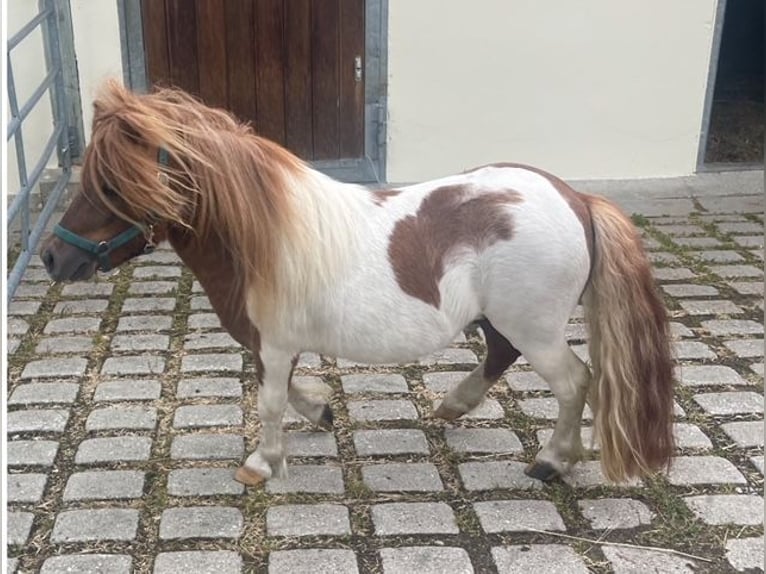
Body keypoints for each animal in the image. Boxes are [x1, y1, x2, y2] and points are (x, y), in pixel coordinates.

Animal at [43, 80, 680, 486]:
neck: (262, 235)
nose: (52, 257)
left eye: (110, 185)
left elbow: (270, 400)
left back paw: (552, 461)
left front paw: (262, 463)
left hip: (535, 328)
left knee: (575, 382)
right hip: (503, 321)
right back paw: (455, 406)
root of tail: (575, 198)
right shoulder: (273, 343)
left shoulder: (274, 342)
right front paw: (321, 414)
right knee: (501, 356)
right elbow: (286, 391)